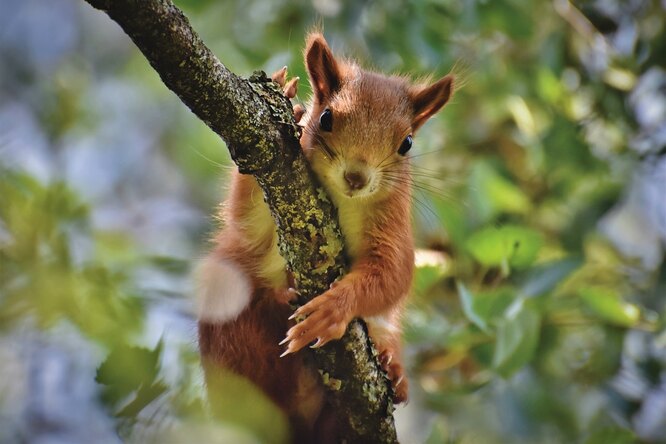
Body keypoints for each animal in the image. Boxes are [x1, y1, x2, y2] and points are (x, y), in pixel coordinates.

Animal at [196, 33, 452, 440]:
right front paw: (285, 93)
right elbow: (245, 218)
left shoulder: (393, 228)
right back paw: (279, 299)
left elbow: (392, 275)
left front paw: (333, 308)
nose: (356, 177)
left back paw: (392, 371)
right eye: (326, 118)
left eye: (407, 143)